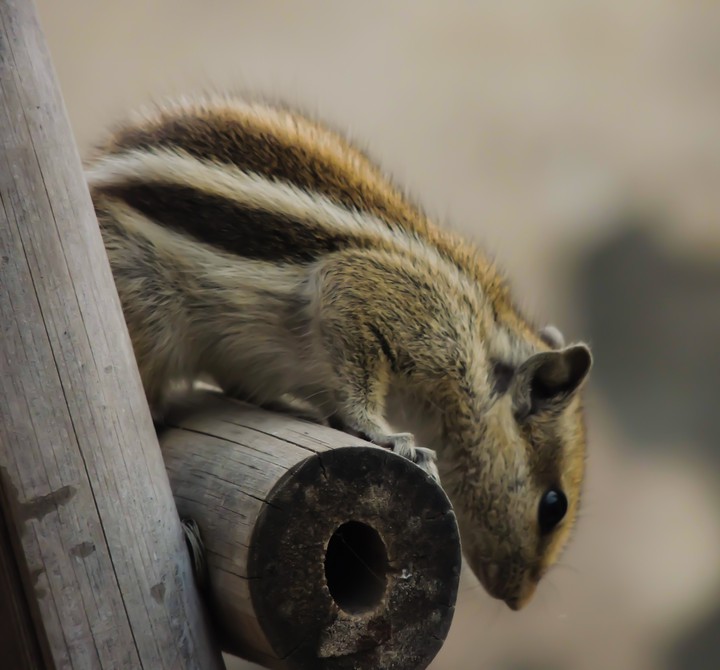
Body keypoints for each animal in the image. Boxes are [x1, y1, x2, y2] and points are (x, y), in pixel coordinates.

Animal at [86, 95, 592, 611]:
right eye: (554, 506)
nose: (519, 601)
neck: (479, 343)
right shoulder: (377, 299)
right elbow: (356, 375)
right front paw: (385, 435)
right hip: (145, 307)